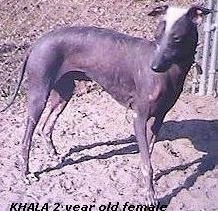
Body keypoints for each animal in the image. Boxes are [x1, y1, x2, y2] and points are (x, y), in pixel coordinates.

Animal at [0, 4, 211, 204]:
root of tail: (37, 42)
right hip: (39, 96)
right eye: (156, 36)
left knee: (46, 127)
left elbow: (148, 156)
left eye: (176, 38)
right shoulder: (139, 118)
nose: (154, 67)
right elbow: (147, 164)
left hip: (64, 94)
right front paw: (150, 196)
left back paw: (53, 154)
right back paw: (25, 173)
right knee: (26, 139)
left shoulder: (158, 119)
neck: (171, 73)